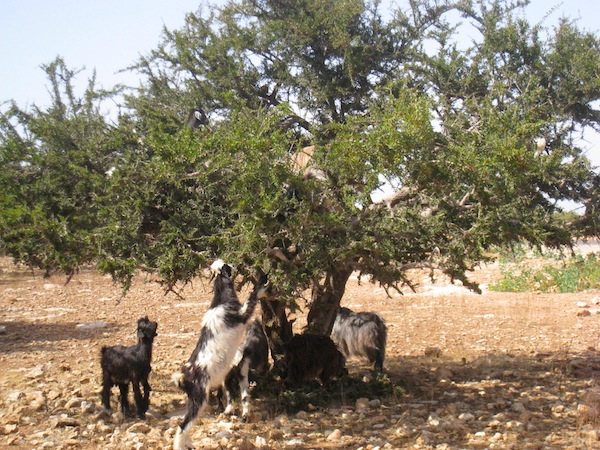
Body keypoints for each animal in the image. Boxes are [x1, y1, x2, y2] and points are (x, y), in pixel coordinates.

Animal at [171, 260, 270, 450]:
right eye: (226, 266)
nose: (234, 263)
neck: (221, 301)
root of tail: (183, 377)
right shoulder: (242, 315)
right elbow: (252, 297)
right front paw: (263, 283)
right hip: (199, 397)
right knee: (183, 423)